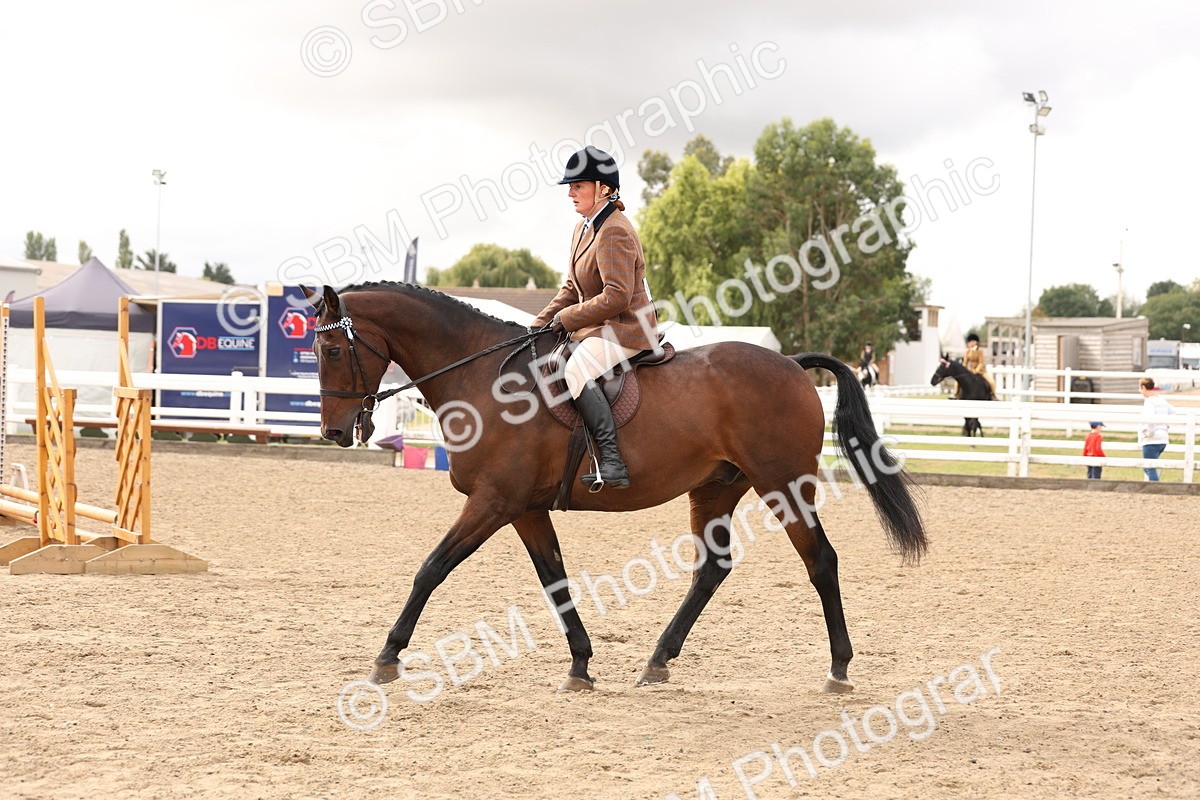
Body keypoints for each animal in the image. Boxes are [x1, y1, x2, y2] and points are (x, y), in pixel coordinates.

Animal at [303, 282, 927, 695]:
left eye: (331, 351)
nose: (334, 431)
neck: (483, 380)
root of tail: (794, 365)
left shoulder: (494, 502)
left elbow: (431, 568)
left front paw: (388, 656)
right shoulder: (524, 509)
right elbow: (554, 581)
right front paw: (581, 664)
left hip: (784, 485)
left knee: (821, 560)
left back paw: (839, 669)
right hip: (717, 489)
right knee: (712, 569)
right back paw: (658, 660)